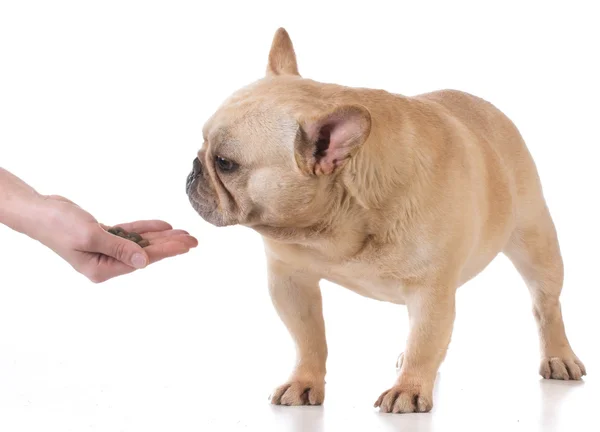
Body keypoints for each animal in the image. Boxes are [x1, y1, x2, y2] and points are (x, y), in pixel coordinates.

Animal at [186, 27, 584, 416]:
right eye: (203, 144)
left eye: (225, 163)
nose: (193, 168)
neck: (336, 222)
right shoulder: (290, 281)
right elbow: (308, 338)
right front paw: (304, 382)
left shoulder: (430, 290)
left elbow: (426, 340)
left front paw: (408, 389)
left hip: (536, 241)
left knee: (546, 304)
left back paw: (558, 356)